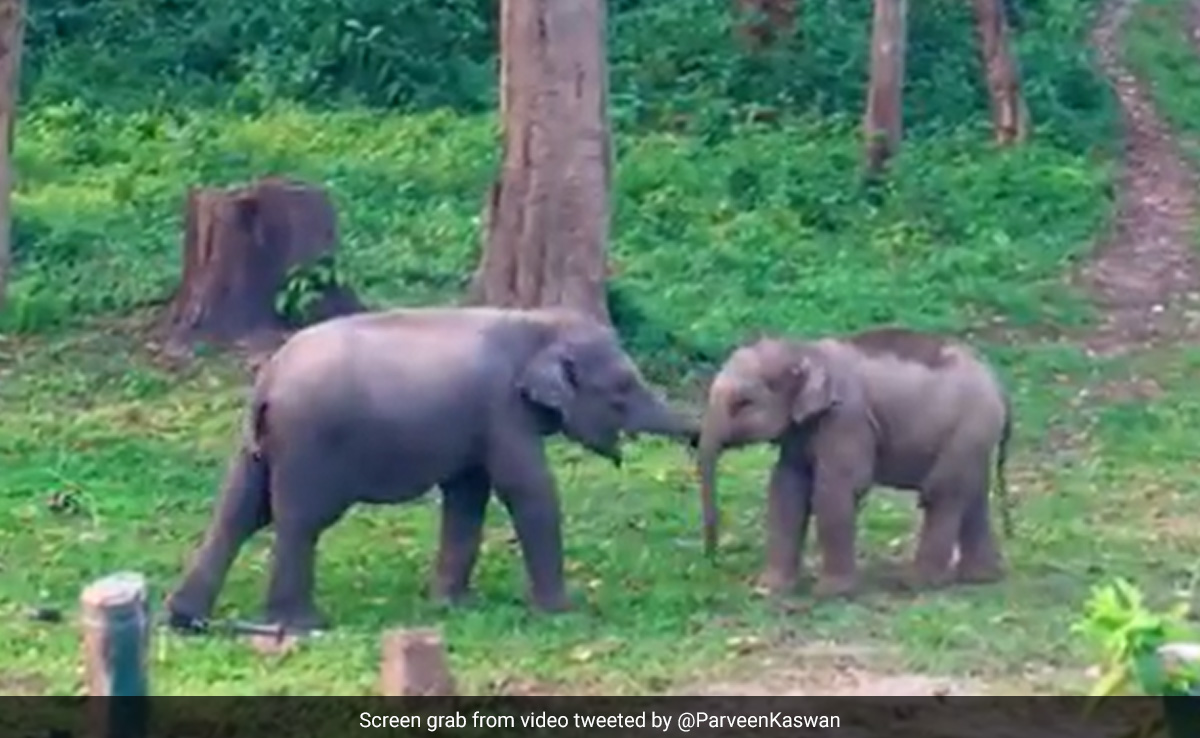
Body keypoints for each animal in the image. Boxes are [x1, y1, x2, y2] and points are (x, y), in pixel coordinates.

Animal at [165, 306, 700, 633]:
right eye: (621, 391)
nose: (696, 440)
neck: (537, 321)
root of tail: (268, 380)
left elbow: (467, 494)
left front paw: (451, 605)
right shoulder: (502, 410)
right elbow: (526, 490)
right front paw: (562, 613)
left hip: (255, 447)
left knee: (237, 514)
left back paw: (187, 619)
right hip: (309, 445)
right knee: (298, 522)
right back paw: (302, 624)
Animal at [695, 327, 1013, 599]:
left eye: (743, 403)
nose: (712, 559)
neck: (805, 349)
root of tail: (1000, 386)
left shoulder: (847, 418)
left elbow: (834, 490)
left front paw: (830, 593)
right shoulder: (800, 430)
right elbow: (786, 487)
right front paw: (769, 588)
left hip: (969, 429)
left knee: (942, 493)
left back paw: (915, 584)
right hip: (975, 439)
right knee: (973, 495)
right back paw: (981, 578)